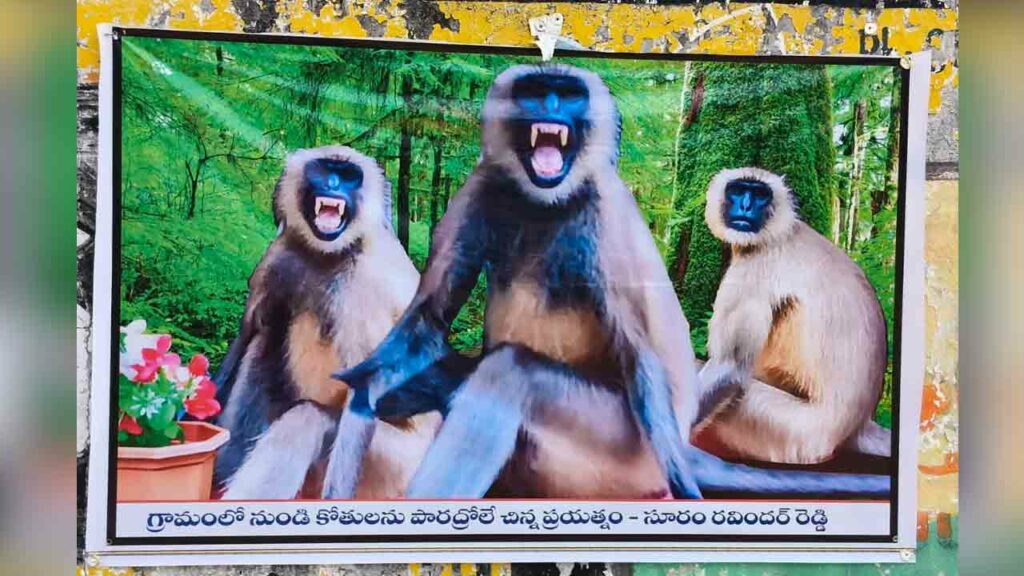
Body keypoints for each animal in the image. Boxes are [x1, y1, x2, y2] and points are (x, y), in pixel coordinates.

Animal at [212, 145, 440, 500]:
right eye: (323, 171)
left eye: (347, 176)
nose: (333, 184)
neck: (327, 255)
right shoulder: (279, 253)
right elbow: (248, 331)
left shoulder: (363, 285)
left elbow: (364, 389)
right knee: (265, 339)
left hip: (393, 466)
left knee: (309, 418)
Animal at [693, 167, 892, 466]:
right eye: (738, 190)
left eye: (759, 195)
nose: (746, 206)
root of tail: (856, 427)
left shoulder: (755, 267)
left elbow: (729, 368)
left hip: (791, 432)